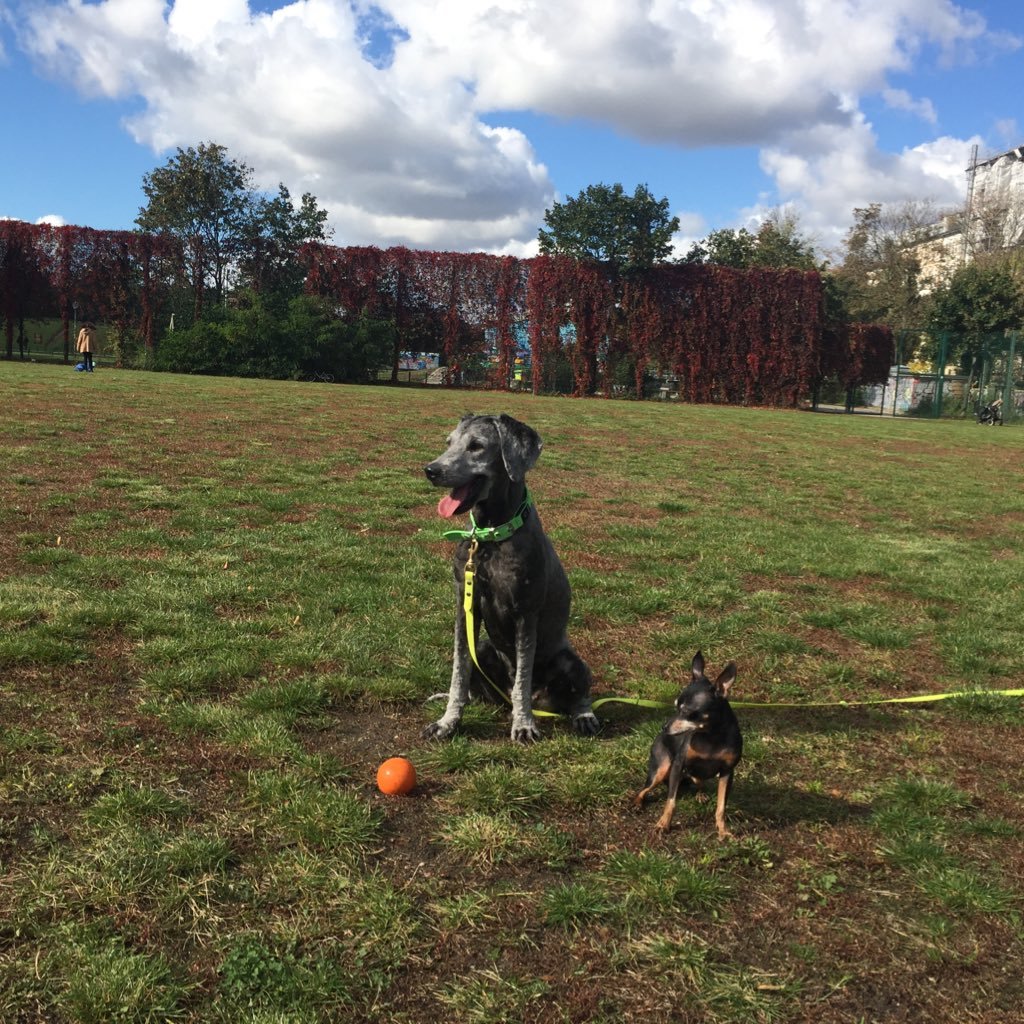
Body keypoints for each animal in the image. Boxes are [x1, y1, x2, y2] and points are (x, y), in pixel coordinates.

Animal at [421, 415, 598, 745]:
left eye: (477, 446)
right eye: (449, 442)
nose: (431, 469)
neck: (491, 536)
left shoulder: (525, 614)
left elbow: (522, 682)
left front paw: (524, 724)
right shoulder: (465, 609)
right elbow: (459, 673)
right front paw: (447, 722)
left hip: (571, 661)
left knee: (577, 695)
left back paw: (584, 716)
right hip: (484, 648)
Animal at [630, 651, 745, 835]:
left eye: (687, 712)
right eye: (676, 706)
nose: (664, 727)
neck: (710, 737)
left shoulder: (727, 772)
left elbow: (721, 807)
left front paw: (723, 831)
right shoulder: (678, 765)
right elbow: (671, 801)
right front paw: (663, 824)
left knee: (699, 782)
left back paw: (701, 794)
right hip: (662, 769)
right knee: (644, 788)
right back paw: (637, 803)